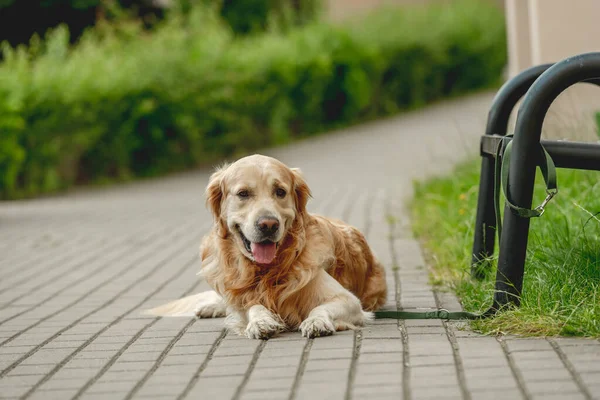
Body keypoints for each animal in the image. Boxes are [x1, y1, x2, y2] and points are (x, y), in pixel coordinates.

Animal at [148, 155, 386, 340]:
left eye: (280, 191)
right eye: (243, 193)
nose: (269, 224)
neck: (268, 270)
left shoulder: (350, 302)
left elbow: (320, 307)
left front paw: (316, 321)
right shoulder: (244, 296)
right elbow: (252, 305)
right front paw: (261, 321)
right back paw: (210, 306)